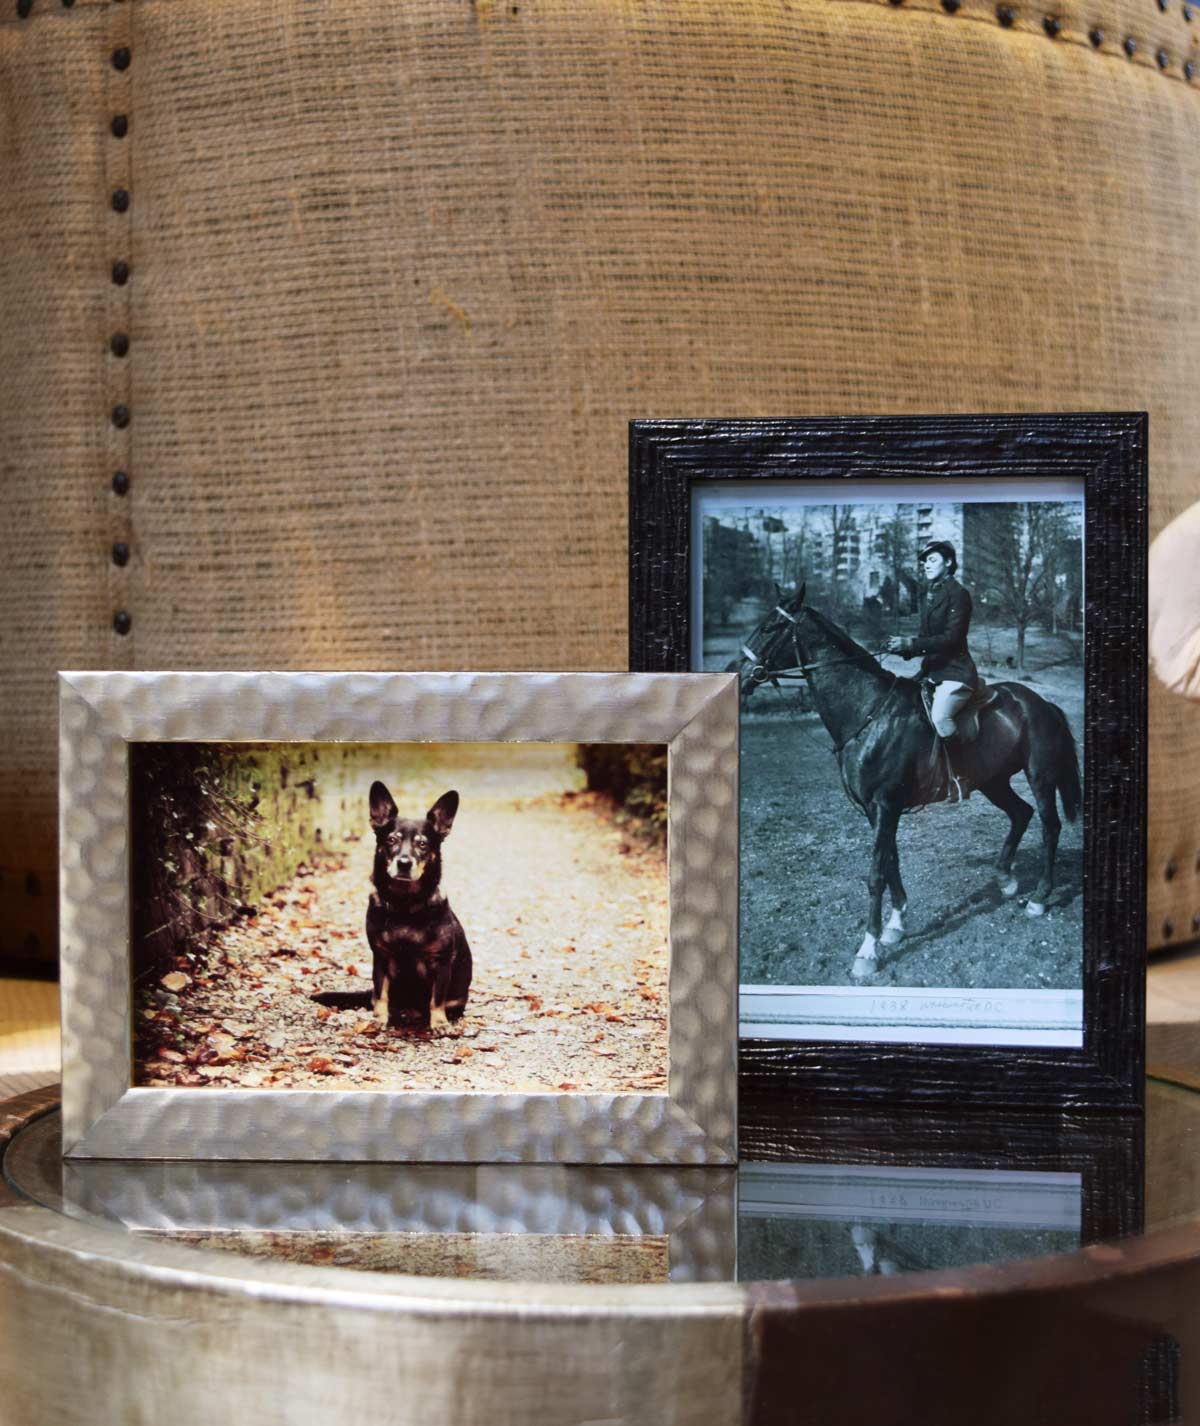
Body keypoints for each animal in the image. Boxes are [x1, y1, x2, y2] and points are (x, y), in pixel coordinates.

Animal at [310, 787, 470, 1032]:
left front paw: (439, 1022)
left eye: (422, 844)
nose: (404, 863)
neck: (405, 904)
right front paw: (379, 1018)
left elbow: (437, 999)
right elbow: (380, 993)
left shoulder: (441, 963)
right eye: (391, 840)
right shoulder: (381, 957)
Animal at [735, 587, 1077, 981]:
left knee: (1049, 826)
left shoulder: (885, 805)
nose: (736, 674)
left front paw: (868, 950)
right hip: (993, 782)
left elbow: (875, 874)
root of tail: (1040, 702)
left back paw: (1038, 899)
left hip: (1040, 776)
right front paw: (896, 925)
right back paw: (1005, 878)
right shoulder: (878, 810)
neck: (869, 712)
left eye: (770, 627)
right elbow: (891, 861)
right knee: (1021, 814)